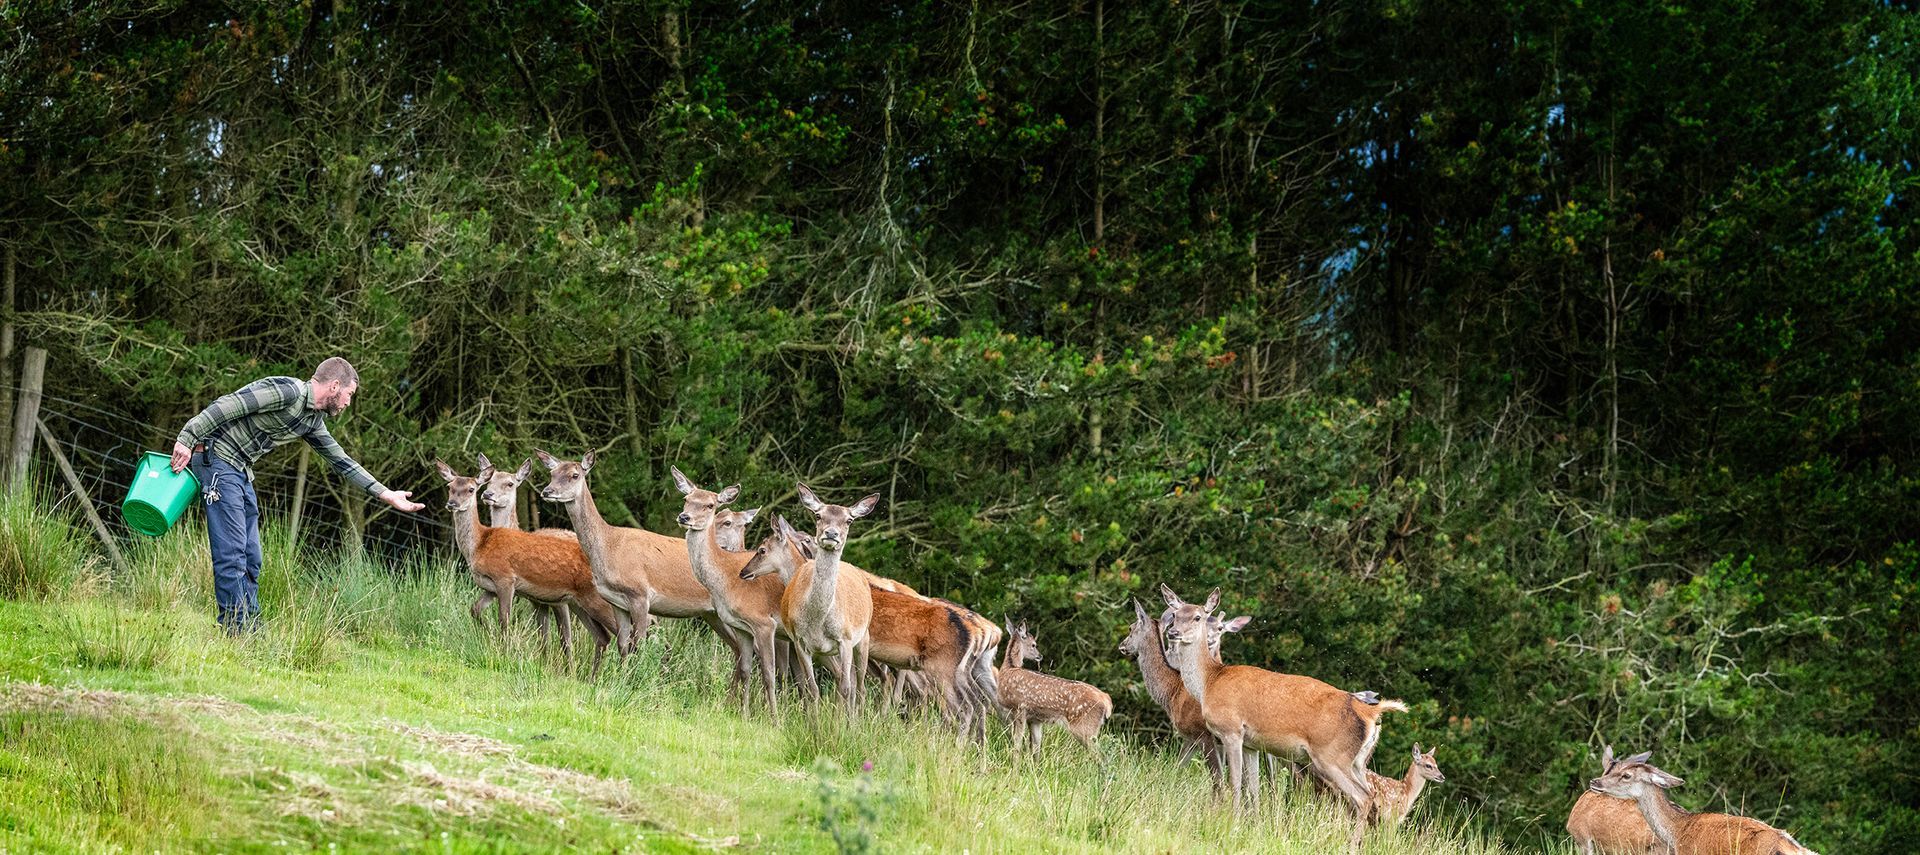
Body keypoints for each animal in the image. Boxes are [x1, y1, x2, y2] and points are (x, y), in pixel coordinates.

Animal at [435, 459, 614, 679]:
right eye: (450, 487)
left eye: (471, 489)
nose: (452, 504)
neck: (478, 546)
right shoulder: (490, 587)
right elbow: (474, 609)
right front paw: (489, 637)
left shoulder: (505, 578)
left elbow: (504, 619)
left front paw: (505, 653)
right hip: (576, 602)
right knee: (602, 636)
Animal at [670, 466, 788, 715]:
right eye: (686, 499)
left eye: (710, 505)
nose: (684, 517)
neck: (726, 578)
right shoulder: (741, 625)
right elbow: (745, 669)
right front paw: (744, 714)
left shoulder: (764, 622)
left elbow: (768, 674)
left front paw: (773, 718)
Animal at [996, 622, 1112, 756]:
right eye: (1034, 644)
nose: (1040, 656)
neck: (1009, 669)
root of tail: (1106, 700)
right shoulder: (1035, 719)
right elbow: (1036, 749)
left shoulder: (1019, 708)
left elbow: (1017, 744)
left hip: (1084, 726)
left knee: (1101, 755)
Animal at [1119, 599, 1221, 783]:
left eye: (1131, 628)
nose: (1122, 646)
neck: (1172, 693)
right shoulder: (1193, 738)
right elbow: (1178, 767)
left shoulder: (1199, 733)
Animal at [1159, 585, 1404, 818]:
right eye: (1175, 615)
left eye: (1197, 617)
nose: (1173, 633)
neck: (1210, 682)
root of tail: (1371, 713)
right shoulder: (1251, 744)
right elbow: (1254, 787)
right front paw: (1253, 822)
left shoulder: (1231, 730)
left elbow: (1235, 783)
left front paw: (1232, 820)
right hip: (1358, 761)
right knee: (1372, 799)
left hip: (1332, 755)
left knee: (1362, 798)